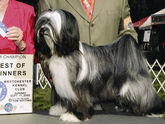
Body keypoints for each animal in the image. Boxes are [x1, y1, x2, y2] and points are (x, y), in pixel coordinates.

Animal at [35, 9, 165, 122]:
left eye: (51, 24)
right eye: (43, 22)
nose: (42, 30)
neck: (63, 52)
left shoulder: (79, 87)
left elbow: (79, 101)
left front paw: (74, 116)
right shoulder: (63, 84)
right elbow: (64, 98)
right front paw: (59, 109)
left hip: (134, 84)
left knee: (145, 95)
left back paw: (155, 110)